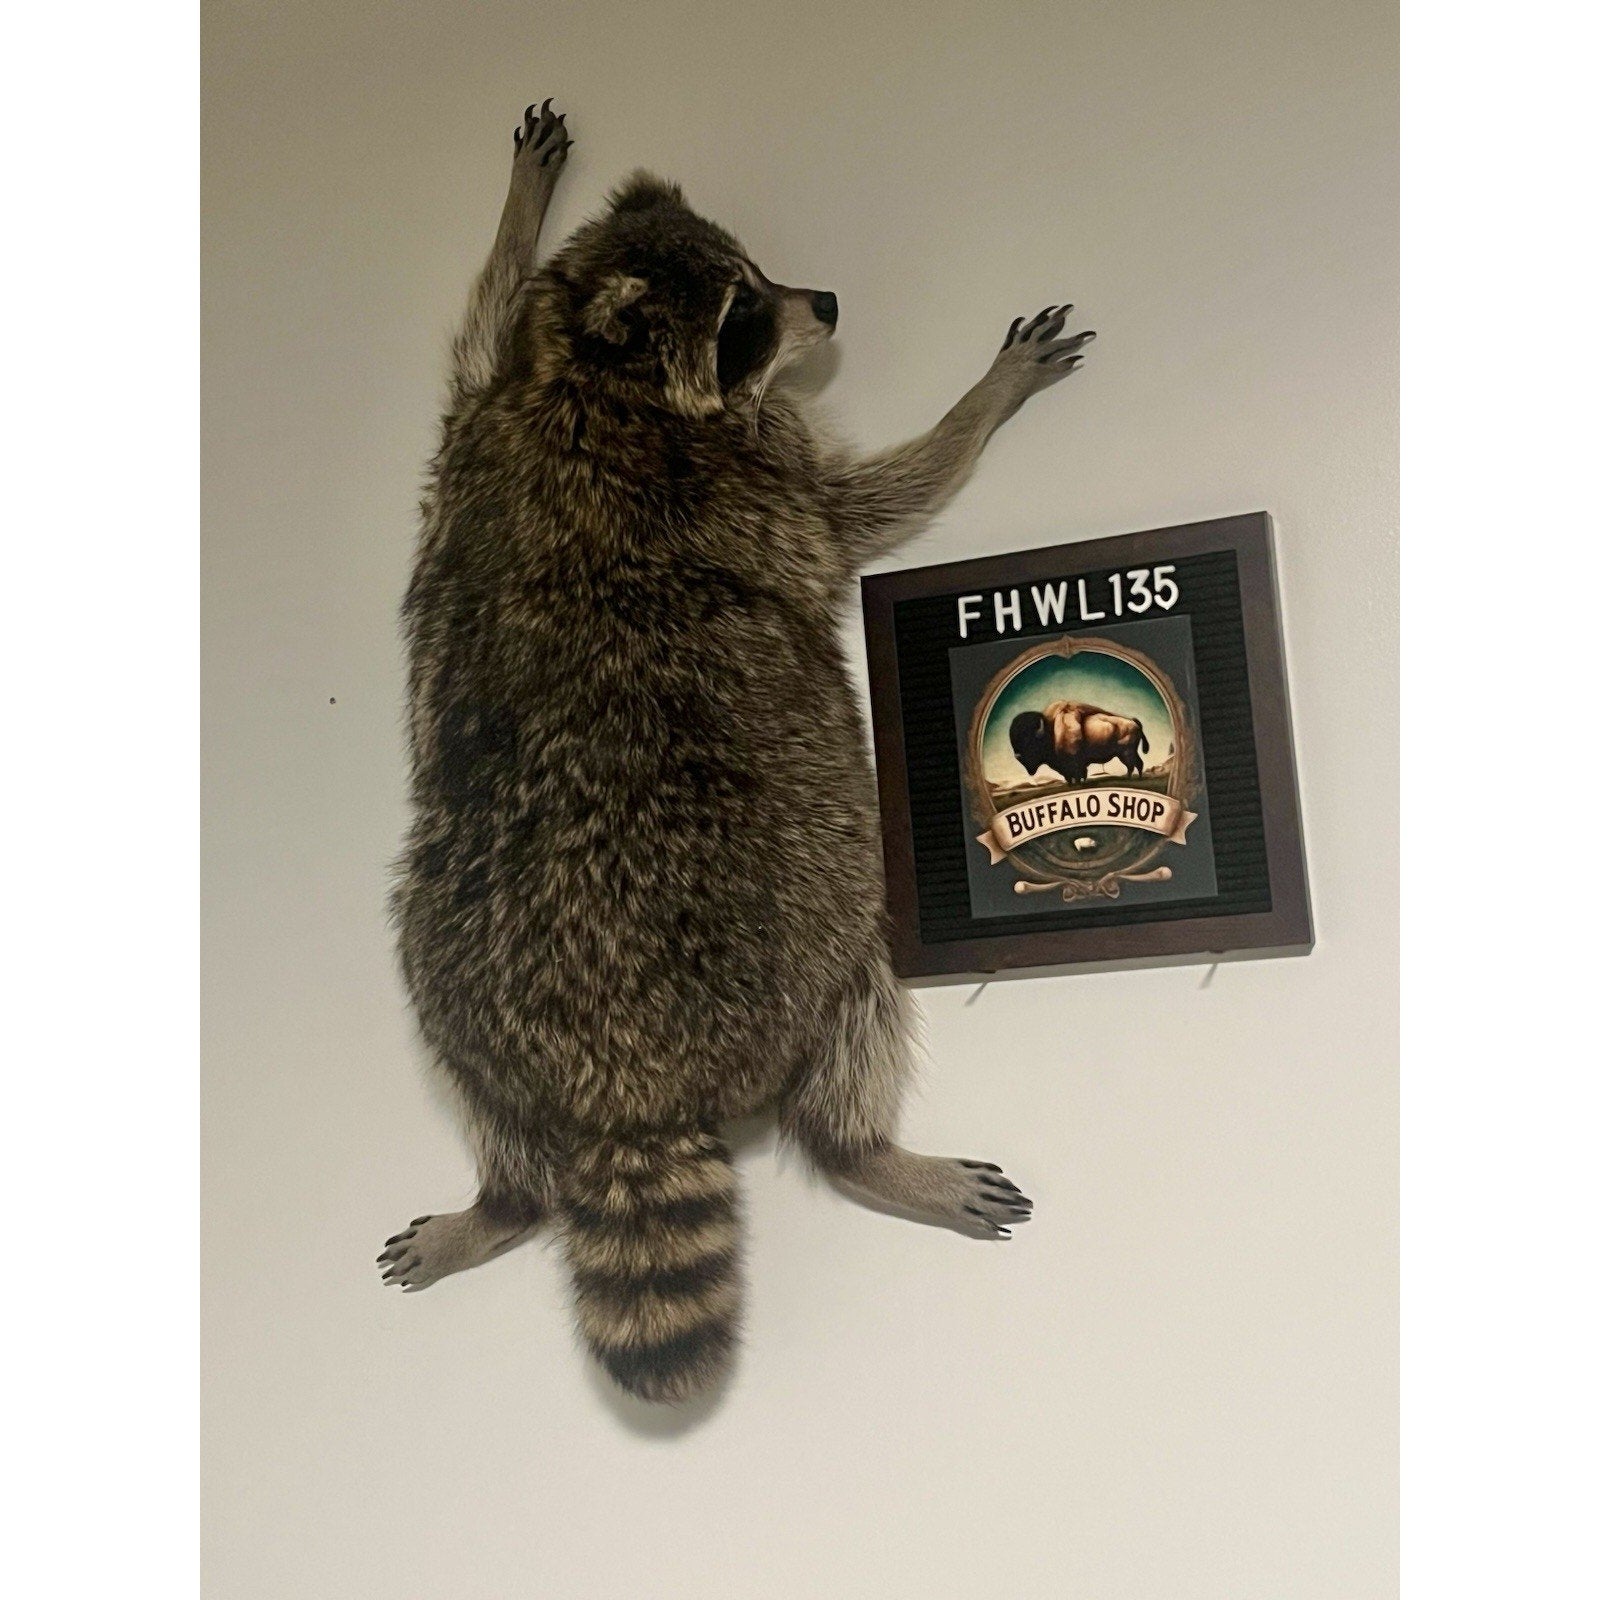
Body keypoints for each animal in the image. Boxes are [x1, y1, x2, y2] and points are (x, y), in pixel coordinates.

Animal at [379, 99, 1095, 1404]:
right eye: (745, 316)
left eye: (755, 278)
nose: (829, 303)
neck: (592, 378)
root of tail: (626, 1089)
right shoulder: (763, 472)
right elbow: (873, 504)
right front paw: (979, 401)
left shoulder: (478, 414)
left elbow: (480, 314)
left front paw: (522, 208)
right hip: (817, 927)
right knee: (856, 1008)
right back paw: (870, 1151)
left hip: (453, 987)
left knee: (477, 1080)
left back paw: (499, 1198)